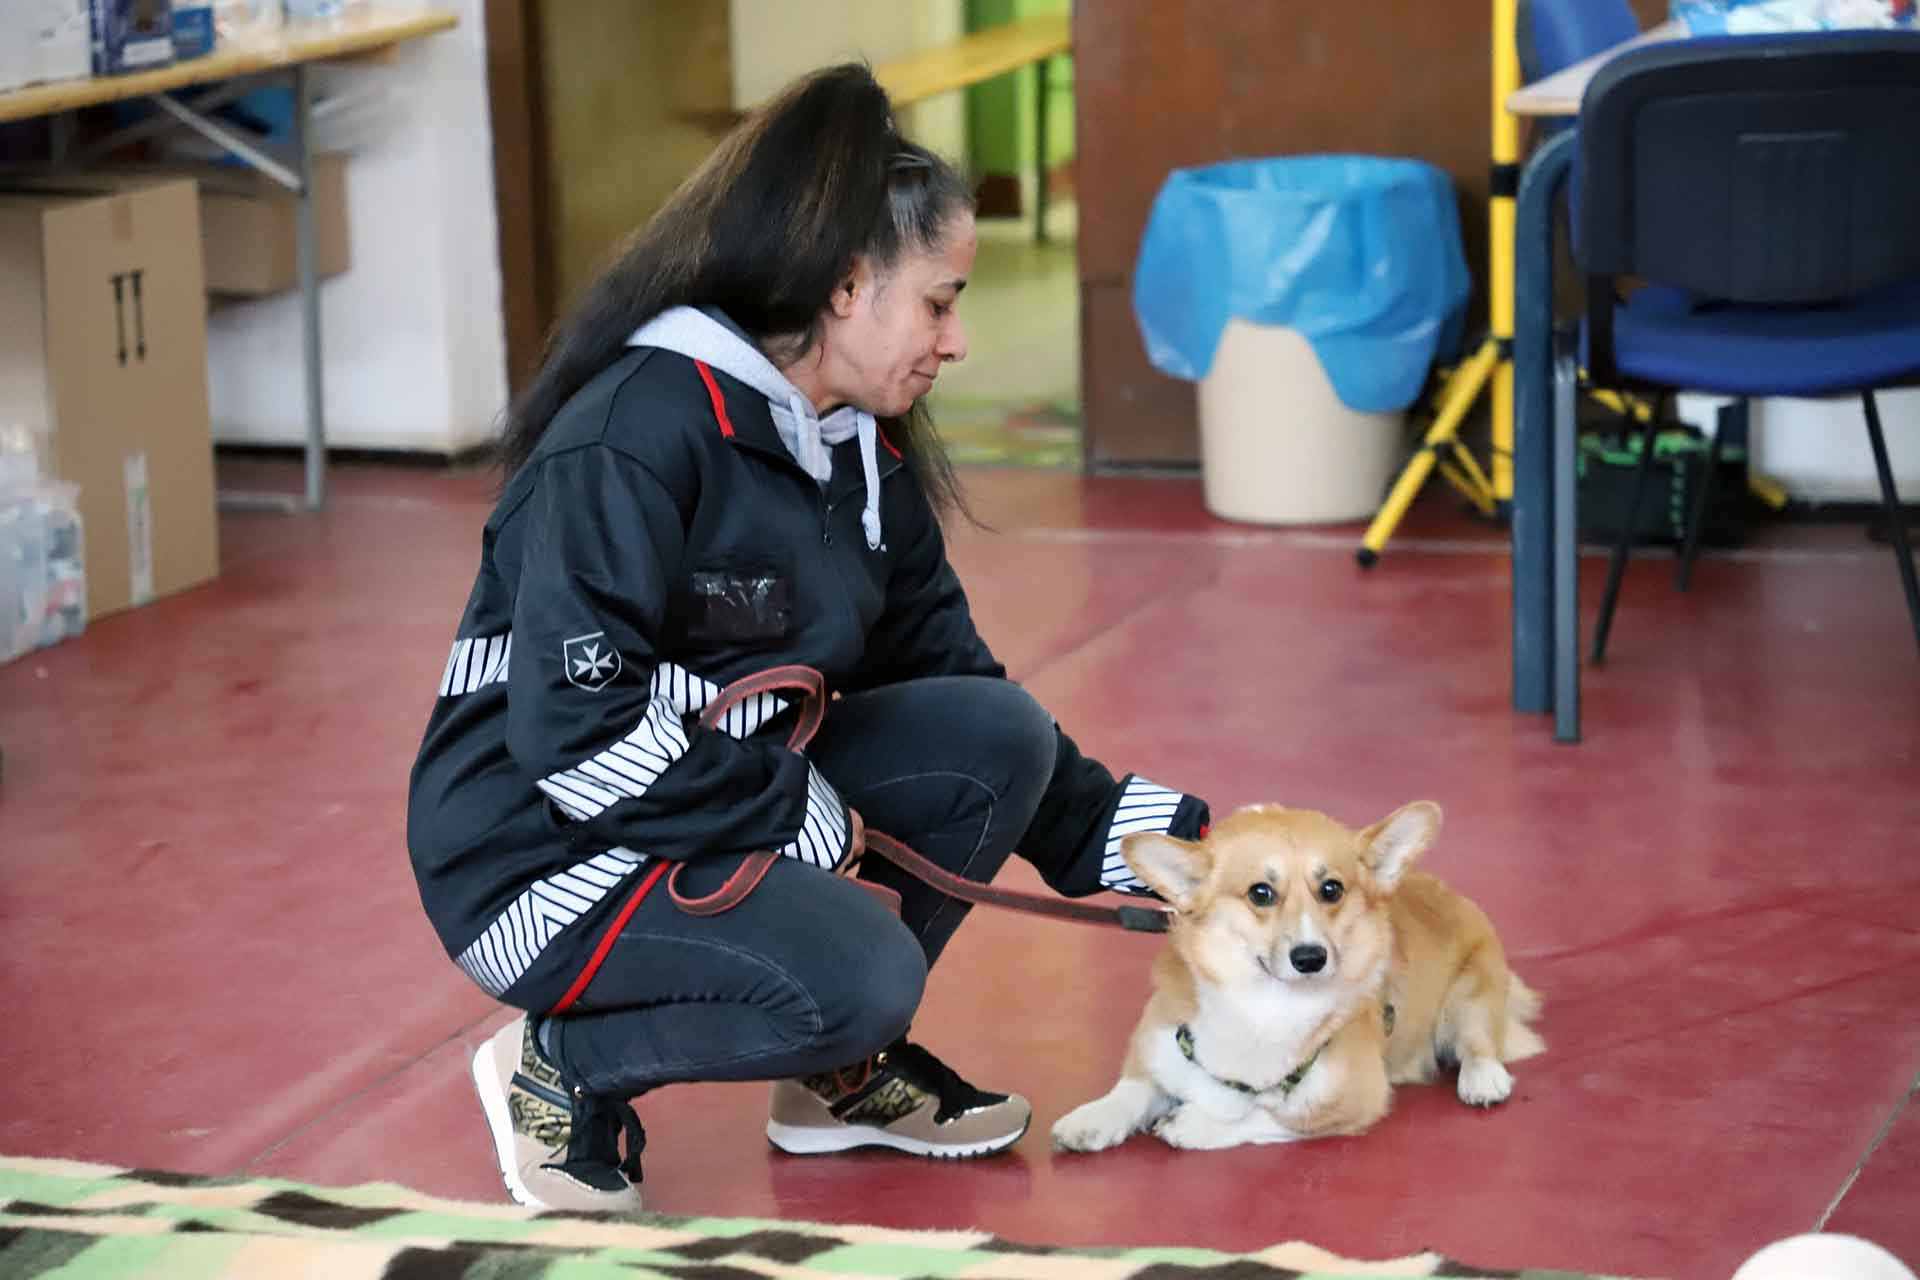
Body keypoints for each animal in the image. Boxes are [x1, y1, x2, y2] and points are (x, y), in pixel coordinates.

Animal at [1052, 802, 1543, 1151]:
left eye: (1332, 889)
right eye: (1260, 893)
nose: (1311, 958)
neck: (1263, 1006)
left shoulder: (1354, 1095)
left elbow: (1268, 1116)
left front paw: (1192, 1124)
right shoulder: (1163, 1047)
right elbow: (1132, 1090)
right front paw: (1090, 1119)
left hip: (1471, 993)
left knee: (1479, 1041)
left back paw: (1483, 1080)